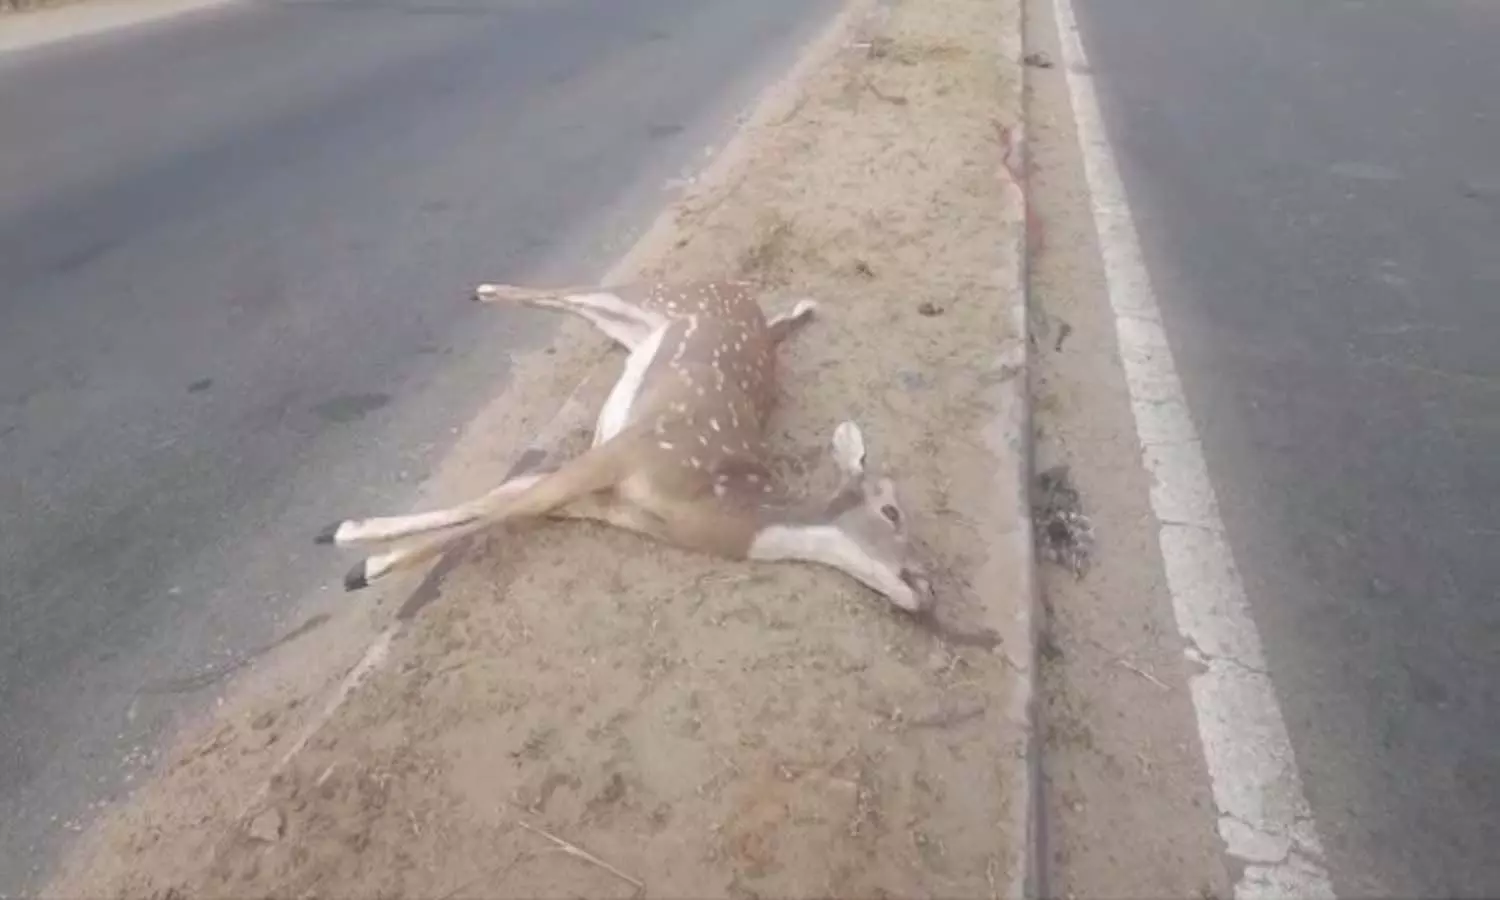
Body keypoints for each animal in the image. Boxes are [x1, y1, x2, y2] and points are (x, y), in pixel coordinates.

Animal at [315, 278, 933, 613]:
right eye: (892, 511)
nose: (928, 588)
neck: (717, 502)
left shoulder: (606, 500)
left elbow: (504, 500)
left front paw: (355, 545)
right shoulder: (634, 448)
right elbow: (505, 502)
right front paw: (355, 557)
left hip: (633, 328)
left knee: (586, 307)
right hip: (663, 295)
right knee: (583, 292)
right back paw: (483, 289)